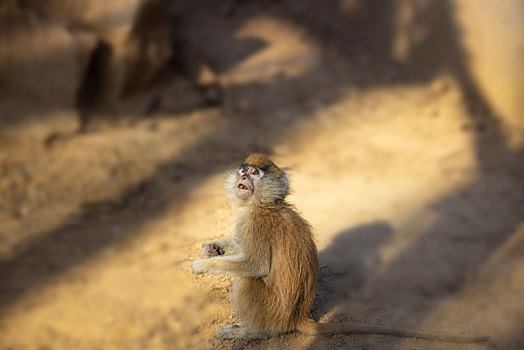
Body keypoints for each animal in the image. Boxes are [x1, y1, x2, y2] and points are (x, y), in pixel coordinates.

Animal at [192, 154, 492, 344]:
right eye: (244, 171)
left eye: (255, 173)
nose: (243, 176)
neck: (268, 204)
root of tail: (298, 316)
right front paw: (214, 248)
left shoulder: (253, 221)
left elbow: (254, 265)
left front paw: (202, 265)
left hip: (271, 311)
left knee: (246, 281)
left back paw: (254, 332)